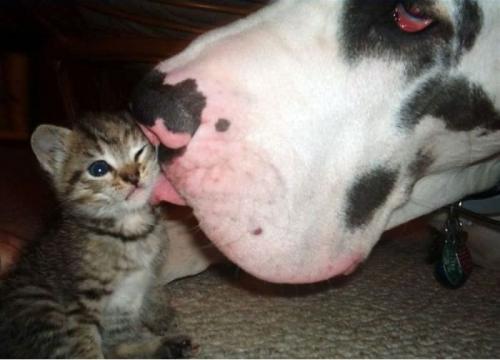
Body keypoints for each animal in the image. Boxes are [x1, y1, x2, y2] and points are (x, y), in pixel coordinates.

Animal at [0, 112, 191, 358]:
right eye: (98, 169)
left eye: (139, 152)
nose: (133, 177)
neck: (130, 229)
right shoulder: (79, 302)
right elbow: (86, 345)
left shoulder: (145, 278)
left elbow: (154, 292)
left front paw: (163, 315)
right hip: (41, 304)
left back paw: (170, 346)